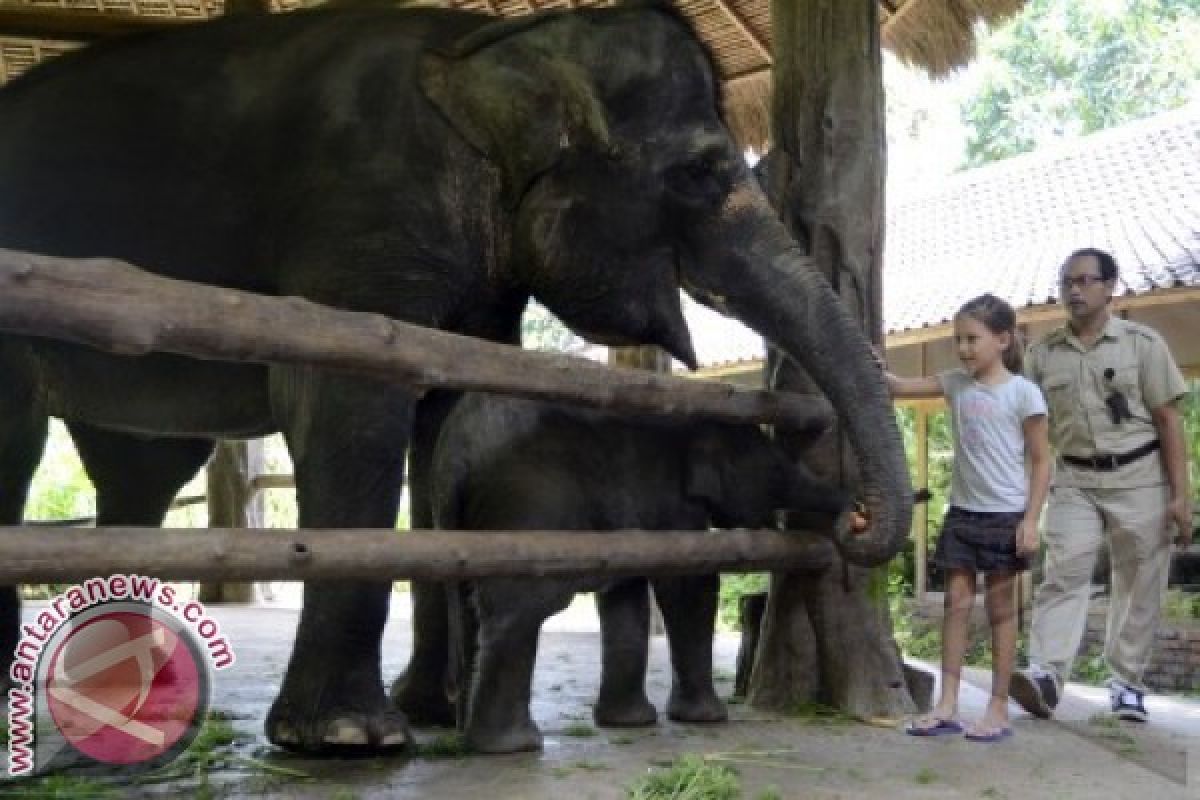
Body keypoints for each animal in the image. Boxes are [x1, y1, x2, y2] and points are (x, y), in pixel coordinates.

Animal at [427, 395, 849, 758]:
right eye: (775, 470)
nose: (854, 510)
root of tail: (450, 457)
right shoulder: (674, 505)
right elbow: (689, 583)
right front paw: (708, 719)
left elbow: (625, 592)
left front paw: (628, 723)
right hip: (527, 505)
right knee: (520, 608)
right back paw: (513, 746)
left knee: (473, 608)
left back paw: (465, 733)